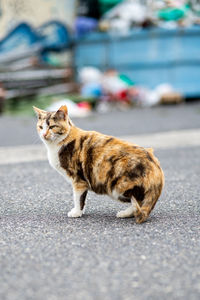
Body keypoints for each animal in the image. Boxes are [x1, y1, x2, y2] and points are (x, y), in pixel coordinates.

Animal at [33, 105, 164, 223]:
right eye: (40, 127)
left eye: (52, 126)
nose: (44, 134)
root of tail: (157, 169)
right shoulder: (83, 182)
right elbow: (82, 198)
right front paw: (81, 211)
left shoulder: (78, 179)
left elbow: (77, 198)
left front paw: (76, 212)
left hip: (117, 187)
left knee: (138, 201)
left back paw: (124, 213)